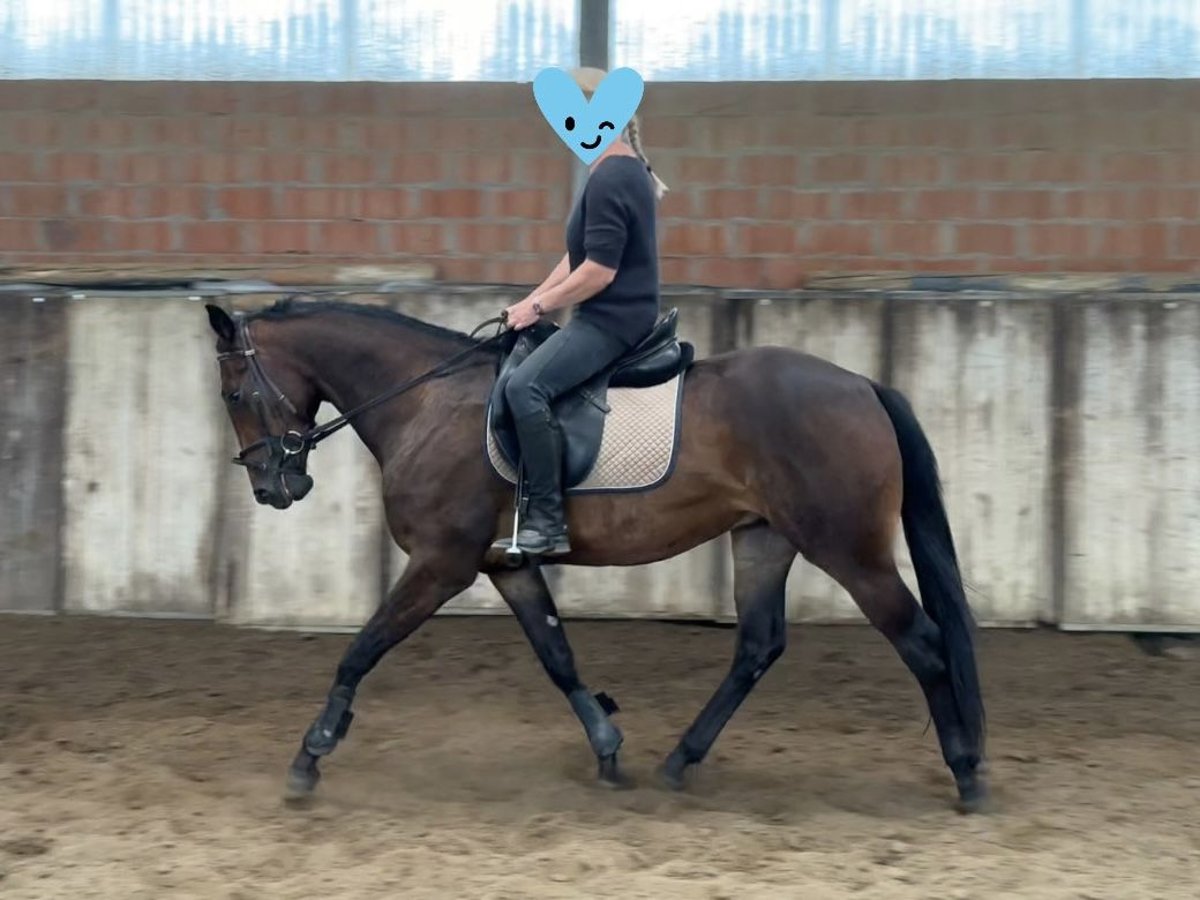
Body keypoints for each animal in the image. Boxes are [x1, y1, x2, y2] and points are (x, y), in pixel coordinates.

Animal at [204, 295, 989, 813]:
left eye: (235, 393)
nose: (276, 487)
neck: (427, 403)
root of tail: (863, 386)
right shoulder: (506, 566)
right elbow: (558, 658)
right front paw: (609, 750)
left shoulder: (440, 565)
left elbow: (360, 651)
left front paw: (310, 756)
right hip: (765, 538)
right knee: (758, 647)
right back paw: (678, 761)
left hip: (849, 550)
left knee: (923, 643)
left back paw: (968, 773)